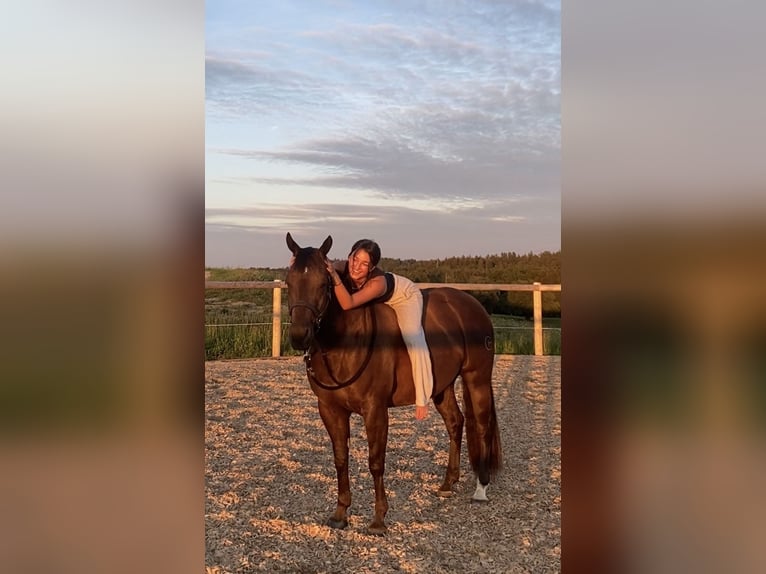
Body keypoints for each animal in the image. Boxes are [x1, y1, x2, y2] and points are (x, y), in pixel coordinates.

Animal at [285, 232, 502, 535]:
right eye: (289, 282)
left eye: (323, 284)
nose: (299, 336)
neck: (348, 341)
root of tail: (473, 305)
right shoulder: (330, 409)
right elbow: (340, 458)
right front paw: (340, 513)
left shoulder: (375, 410)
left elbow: (376, 462)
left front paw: (378, 519)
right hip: (441, 386)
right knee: (455, 422)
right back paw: (448, 483)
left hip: (476, 378)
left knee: (481, 425)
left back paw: (480, 488)